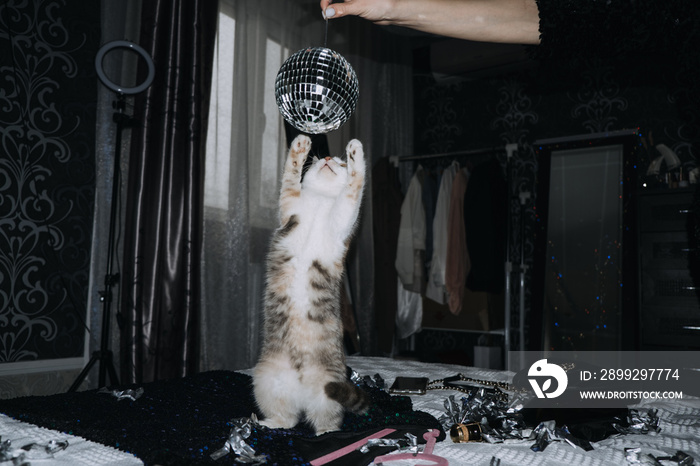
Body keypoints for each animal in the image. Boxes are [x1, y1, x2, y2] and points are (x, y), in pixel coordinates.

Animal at [253, 133, 372, 436]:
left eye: (340, 163)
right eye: (322, 159)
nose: (328, 158)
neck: (321, 201)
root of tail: (302, 393)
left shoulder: (343, 220)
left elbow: (354, 188)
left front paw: (356, 153)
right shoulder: (290, 205)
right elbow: (290, 175)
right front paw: (299, 147)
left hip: (328, 390)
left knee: (326, 422)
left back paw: (326, 434)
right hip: (265, 382)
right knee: (288, 419)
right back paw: (267, 422)